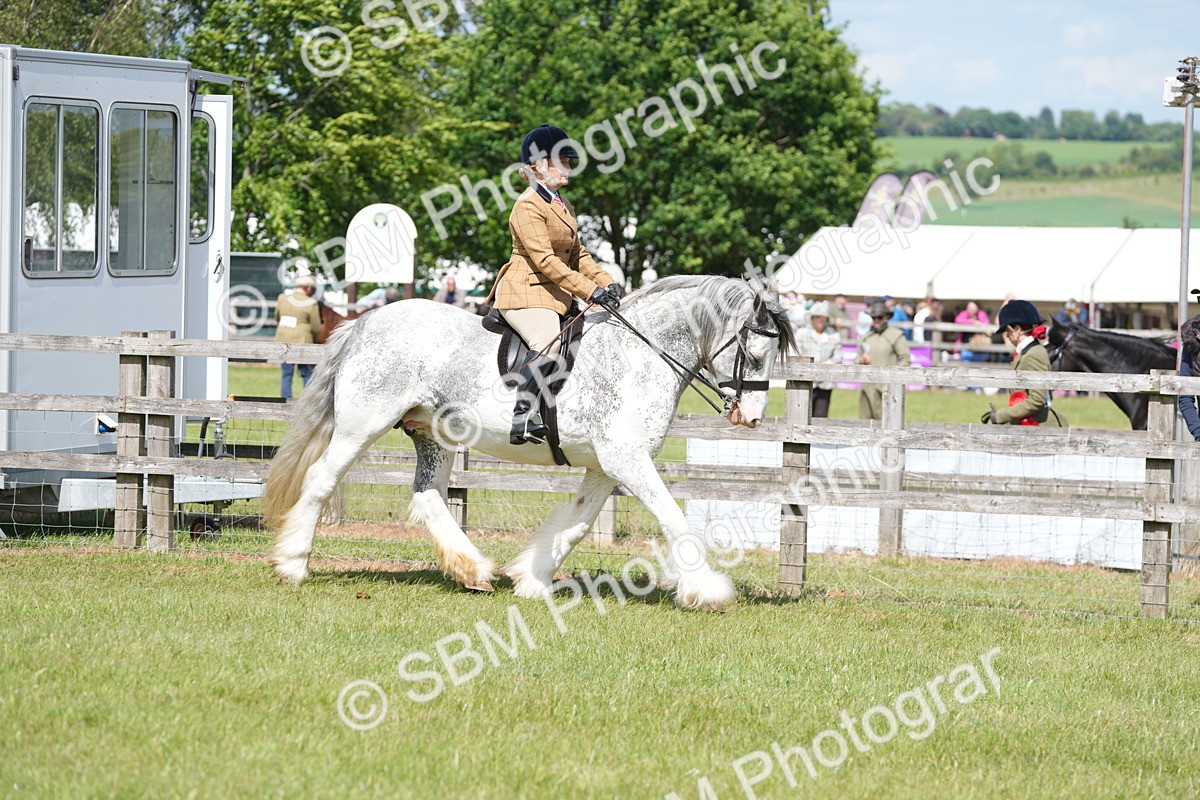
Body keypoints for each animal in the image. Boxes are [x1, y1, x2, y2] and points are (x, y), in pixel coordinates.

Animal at [261, 275, 796, 611]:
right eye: (755, 352)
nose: (751, 417)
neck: (639, 353)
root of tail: (365, 322)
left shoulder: (604, 466)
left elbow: (576, 525)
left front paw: (533, 580)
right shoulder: (627, 460)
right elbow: (674, 518)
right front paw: (707, 590)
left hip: (434, 435)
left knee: (428, 495)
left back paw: (472, 570)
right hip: (362, 424)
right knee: (321, 479)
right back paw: (292, 565)